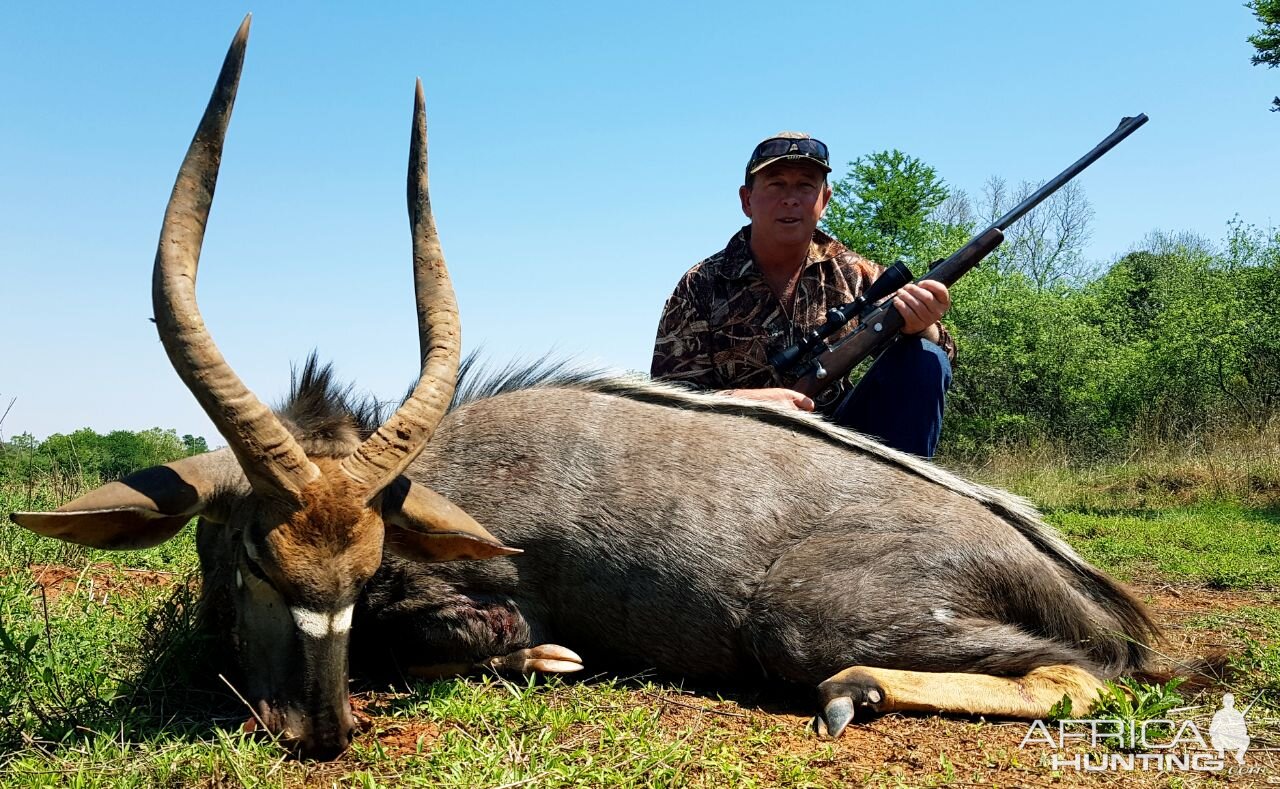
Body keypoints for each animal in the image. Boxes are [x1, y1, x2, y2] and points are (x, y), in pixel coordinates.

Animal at [10, 16, 1157, 758]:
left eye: (367, 562)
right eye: (251, 553)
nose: (315, 732)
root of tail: (1064, 570)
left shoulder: (481, 601)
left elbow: (491, 643)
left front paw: (550, 660)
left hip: (809, 623)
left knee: (1077, 673)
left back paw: (854, 692)